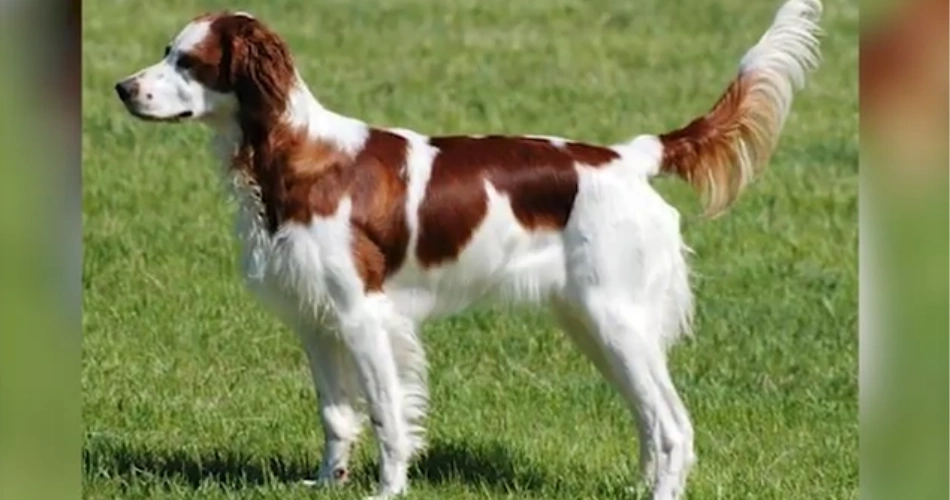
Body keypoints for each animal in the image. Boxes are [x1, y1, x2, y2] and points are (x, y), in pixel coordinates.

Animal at [115, 1, 820, 498]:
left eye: (189, 62)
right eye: (165, 52)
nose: (123, 87)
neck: (292, 155)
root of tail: (629, 156)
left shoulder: (364, 316)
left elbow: (388, 417)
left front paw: (387, 491)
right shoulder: (316, 320)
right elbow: (338, 416)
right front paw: (325, 484)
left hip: (617, 320)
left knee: (674, 425)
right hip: (593, 324)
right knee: (650, 421)